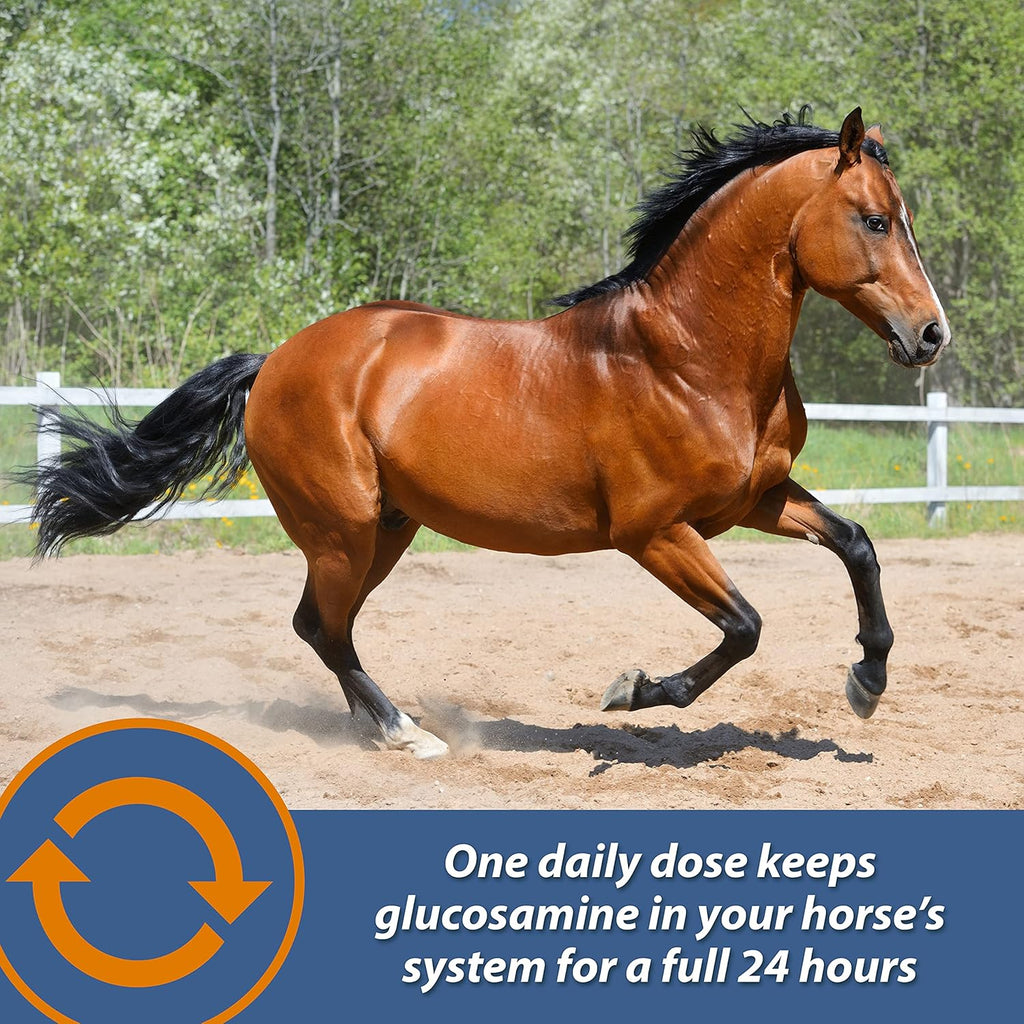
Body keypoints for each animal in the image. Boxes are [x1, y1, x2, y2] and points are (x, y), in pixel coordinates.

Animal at [27, 108, 950, 759]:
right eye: (874, 220)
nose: (931, 334)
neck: (685, 358)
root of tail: (278, 360)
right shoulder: (654, 532)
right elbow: (746, 626)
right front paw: (631, 691)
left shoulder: (752, 502)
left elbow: (858, 544)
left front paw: (868, 679)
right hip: (343, 529)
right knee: (323, 628)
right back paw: (406, 734)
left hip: (387, 529)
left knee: (323, 627)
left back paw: (384, 728)